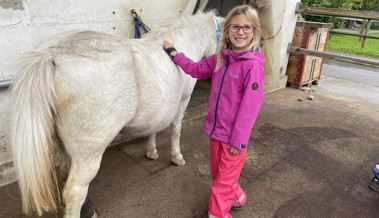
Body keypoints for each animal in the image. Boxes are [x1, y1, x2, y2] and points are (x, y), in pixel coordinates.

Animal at [10, 11, 224, 217]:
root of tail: (51, 54)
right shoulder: (182, 102)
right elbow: (176, 129)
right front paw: (176, 157)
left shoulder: (161, 107)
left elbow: (154, 128)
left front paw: (151, 152)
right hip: (89, 154)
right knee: (74, 193)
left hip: (61, 143)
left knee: (64, 172)